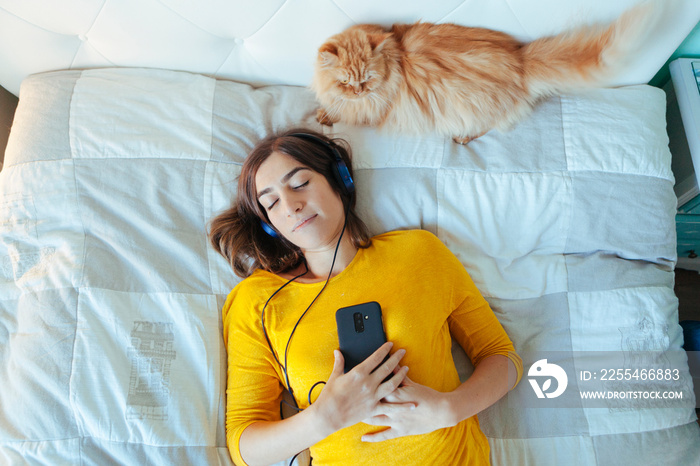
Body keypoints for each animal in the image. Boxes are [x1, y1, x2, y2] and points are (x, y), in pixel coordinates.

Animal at [314, 0, 660, 143]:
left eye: (367, 79)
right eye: (345, 82)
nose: (359, 90)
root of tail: (520, 59)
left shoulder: (375, 109)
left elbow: (349, 114)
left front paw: (328, 115)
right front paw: (324, 112)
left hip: (467, 107)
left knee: (489, 125)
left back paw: (462, 138)